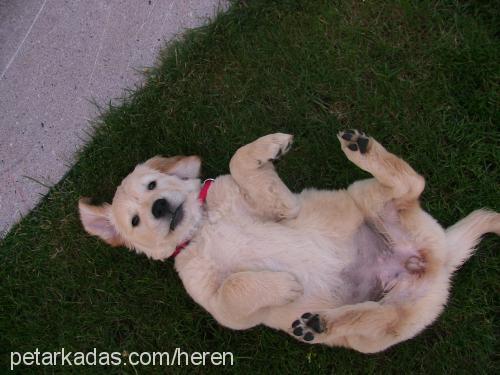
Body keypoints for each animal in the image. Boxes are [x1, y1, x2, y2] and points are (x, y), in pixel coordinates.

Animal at [78, 133, 500, 356]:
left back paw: (361, 148)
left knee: (411, 184)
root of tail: (439, 258)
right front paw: (284, 285)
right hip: (386, 326)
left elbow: (238, 162)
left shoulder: (280, 206)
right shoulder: (221, 308)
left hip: (368, 198)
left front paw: (268, 146)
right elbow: (234, 287)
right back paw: (318, 323)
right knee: (376, 315)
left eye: (152, 184)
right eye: (135, 220)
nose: (159, 206)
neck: (201, 228)